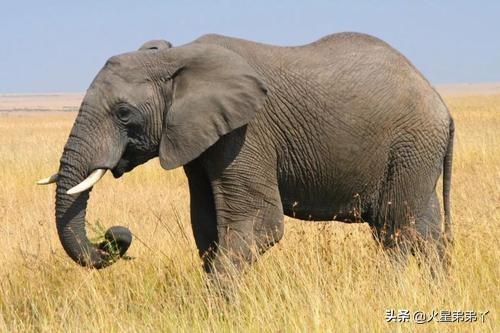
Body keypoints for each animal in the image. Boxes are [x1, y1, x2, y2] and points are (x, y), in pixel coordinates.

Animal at [38, 32, 454, 274]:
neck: (177, 58)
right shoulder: (199, 139)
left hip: (410, 146)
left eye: (123, 113)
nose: (116, 234)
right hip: (416, 154)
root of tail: (442, 105)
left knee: (396, 230)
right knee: (426, 229)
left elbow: (258, 224)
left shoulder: (246, 133)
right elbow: (206, 227)